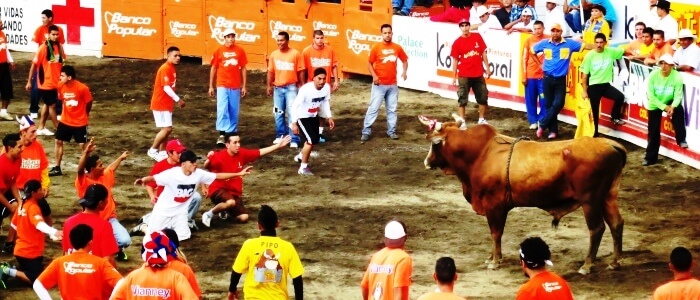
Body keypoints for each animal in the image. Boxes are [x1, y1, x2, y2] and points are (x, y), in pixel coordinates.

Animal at [418, 114, 628, 274]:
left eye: (434, 144)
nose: (426, 162)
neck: (481, 153)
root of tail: (610, 145)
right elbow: (495, 233)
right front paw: (492, 257)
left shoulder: (493, 205)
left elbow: (495, 232)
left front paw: (495, 260)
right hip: (608, 197)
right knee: (616, 224)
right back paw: (615, 262)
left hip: (590, 201)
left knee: (597, 229)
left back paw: (587, 265)